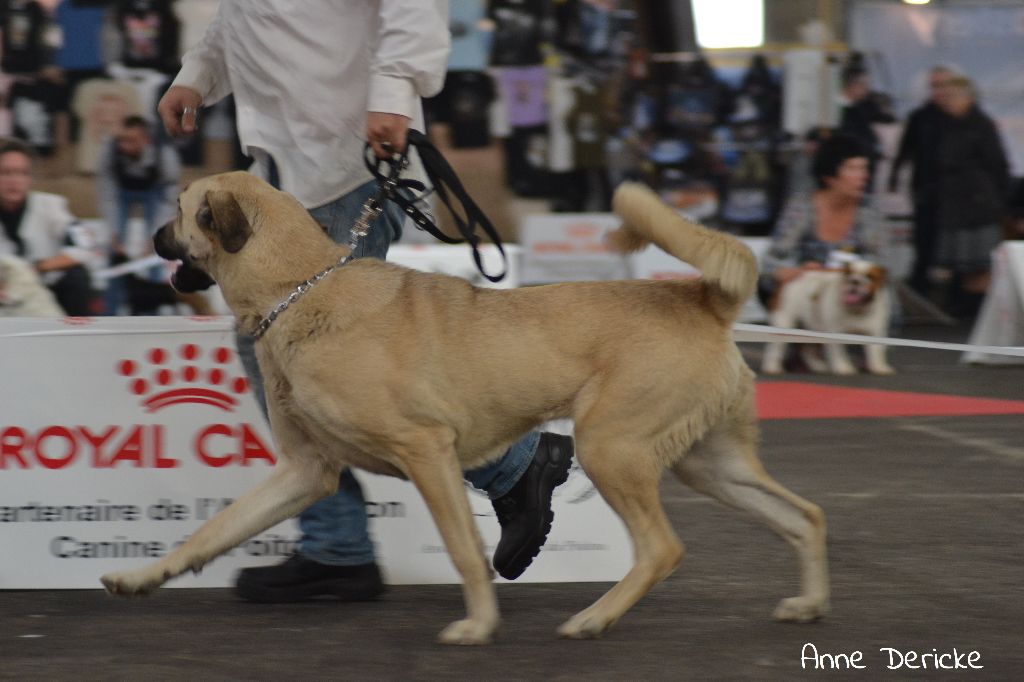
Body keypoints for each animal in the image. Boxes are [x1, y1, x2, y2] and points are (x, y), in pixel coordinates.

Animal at [99, 171, 827, 643]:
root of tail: (700, 299)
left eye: (181, 209)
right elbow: (211, 531)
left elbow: (463, 549)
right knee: (804, 517)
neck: (299, 287)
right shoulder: (307, 472)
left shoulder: (426, 452)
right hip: (708, 465)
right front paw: (142, 577)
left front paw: (478, 625)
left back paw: (595, 618)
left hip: (611, 448)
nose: (153, 237)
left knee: (661, 548)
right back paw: (808, 604)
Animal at [761, 258, 897, 374]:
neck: (857, 310)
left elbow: (876, 351)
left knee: (807, 350)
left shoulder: (875, 331)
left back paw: (818, 366)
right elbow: (839, 352)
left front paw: (879, 367)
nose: (855, 281)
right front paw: (843, 367)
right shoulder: (836, 331)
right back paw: (772, 367)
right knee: (775, 348)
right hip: (784, 322)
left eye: (870, 277)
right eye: (848, 274)